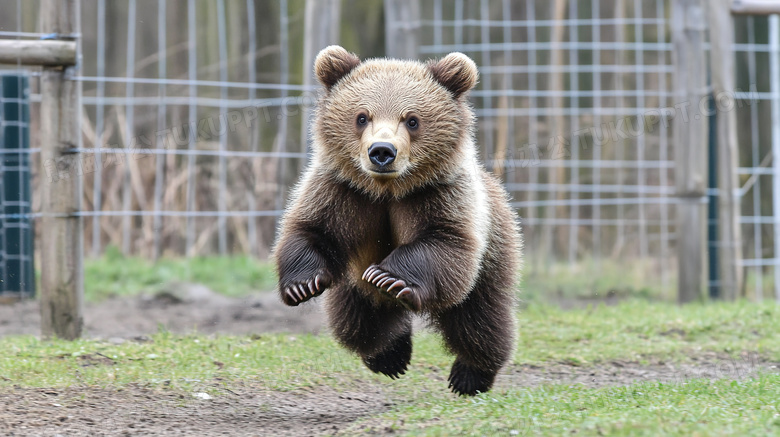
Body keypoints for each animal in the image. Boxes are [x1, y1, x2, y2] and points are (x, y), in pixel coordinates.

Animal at [274, 45, 524, 396]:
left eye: (412, 120)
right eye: (361, 117)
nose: (382, 151)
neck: (388, 190)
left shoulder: (438, 195)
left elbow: (445, 242)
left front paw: (389, 277)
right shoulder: (344, 193)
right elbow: (312, 229)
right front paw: (303, 284)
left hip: (494, 248)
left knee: (479, 317)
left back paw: (470, 373)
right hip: (352, 287)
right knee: (359, 322)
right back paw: (390, 355)